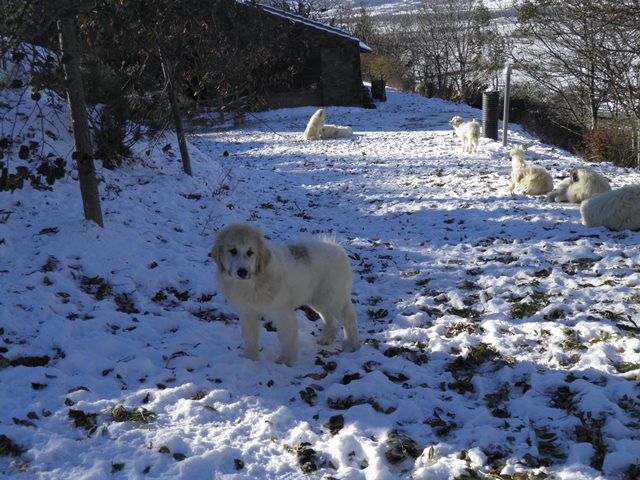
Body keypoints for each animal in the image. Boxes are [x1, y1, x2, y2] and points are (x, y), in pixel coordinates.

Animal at [211, 223, 358, 366]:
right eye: (233, 251)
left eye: (250, 252)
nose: (242, 272)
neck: (254, 281)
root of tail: (337, 248)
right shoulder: (247, 313)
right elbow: (249, 337)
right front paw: (250, 359)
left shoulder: (281, 311)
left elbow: (286, 336)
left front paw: (286, 360)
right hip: (317, 298)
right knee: (328, 317)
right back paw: (327, 338)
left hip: (334, 298)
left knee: (349, 319)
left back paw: (351, 345)